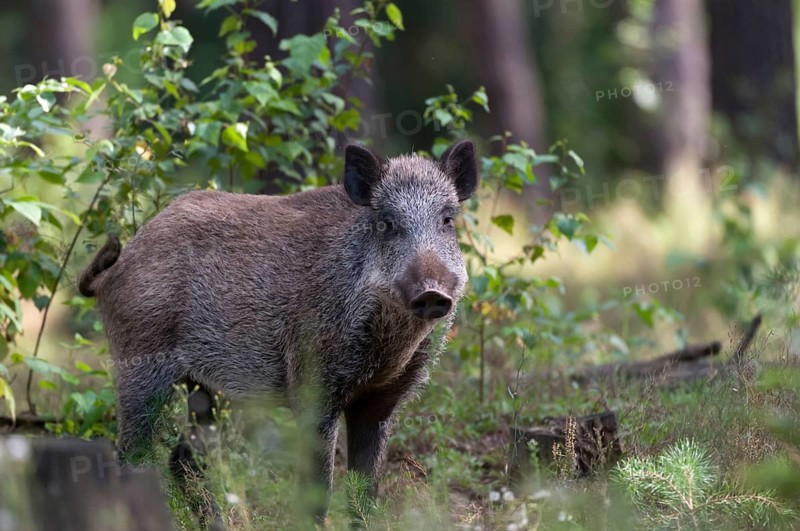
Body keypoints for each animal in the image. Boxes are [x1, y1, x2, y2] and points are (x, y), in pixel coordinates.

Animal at [78, 140, 478, 520]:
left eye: (447, 220)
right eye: (387, 223)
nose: (432, 293)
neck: (391, 344)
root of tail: (117, 265)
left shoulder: (382, 401)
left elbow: (365, 492)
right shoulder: (313, 384)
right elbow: (318, 490)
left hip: (205, 388)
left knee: (183, 457)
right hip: (139, 365)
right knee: (132, 457)